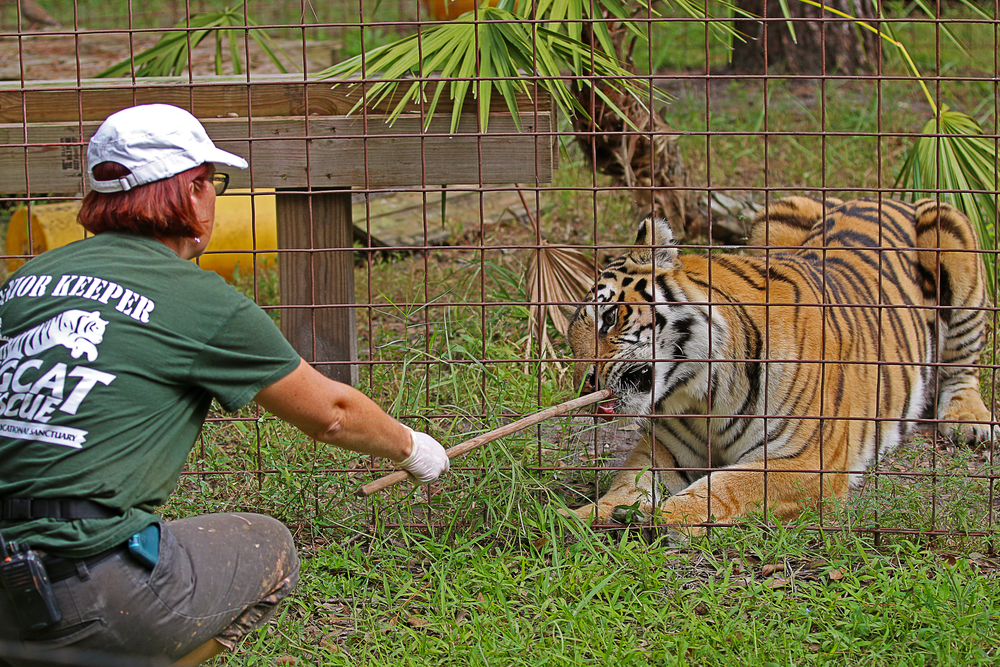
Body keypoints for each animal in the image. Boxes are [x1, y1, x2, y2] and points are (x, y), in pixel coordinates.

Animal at [564, 196, 992, 536]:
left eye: (609, 318)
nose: (585, 385)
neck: (702, 392)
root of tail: (881, 197)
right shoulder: (665, 449)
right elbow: (626, 484)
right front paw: (579, 517)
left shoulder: (805, 463)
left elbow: (726, 487)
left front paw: (663, 517)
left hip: (950, 228)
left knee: (964, 367)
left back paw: (969, 422)